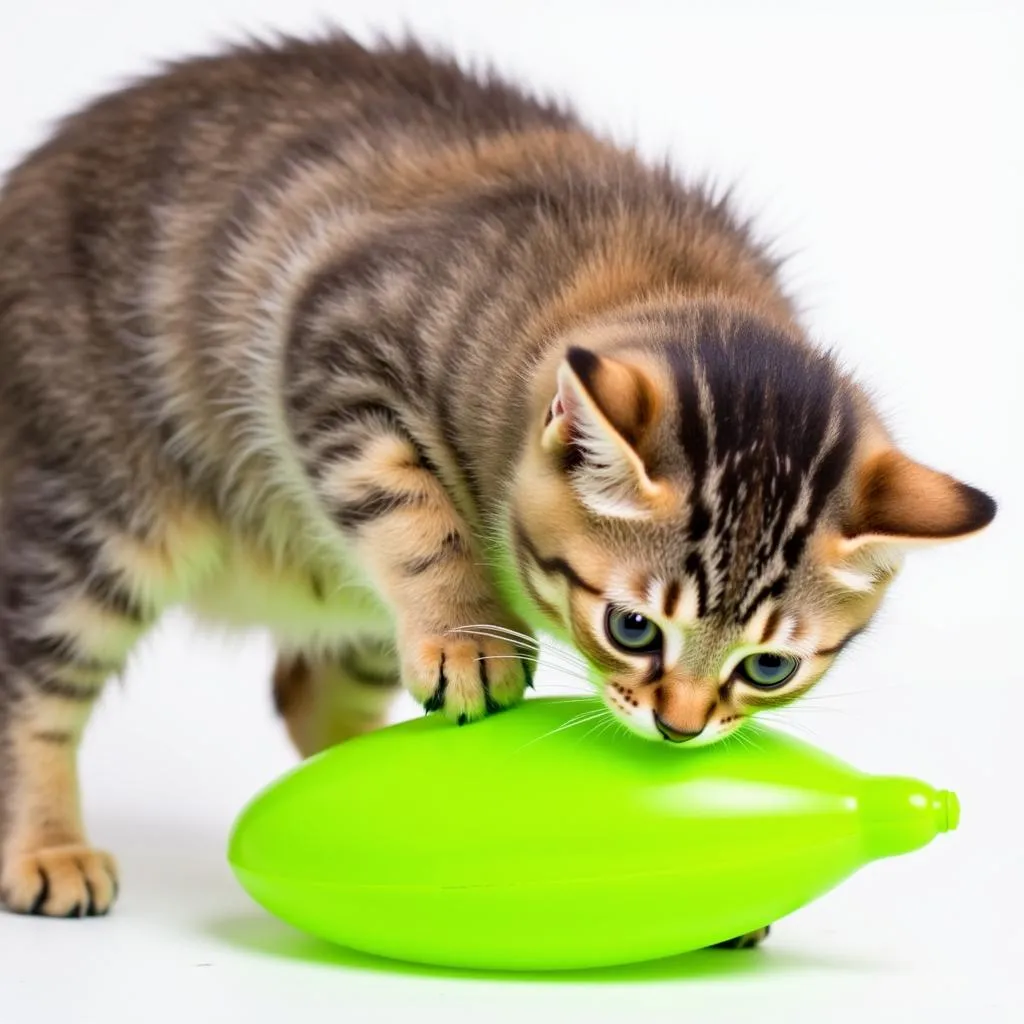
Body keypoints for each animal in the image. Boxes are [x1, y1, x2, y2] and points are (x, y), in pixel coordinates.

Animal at [0, 36, 991, 925]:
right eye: (633, 628)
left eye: (769, 666)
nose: (681, 725)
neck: (656, 265)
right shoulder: (332, 342)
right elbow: (413, 511)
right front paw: (466, 630)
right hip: (92, 515)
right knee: (31, 691)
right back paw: (48, 853)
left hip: (352, 613)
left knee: (307, 690)